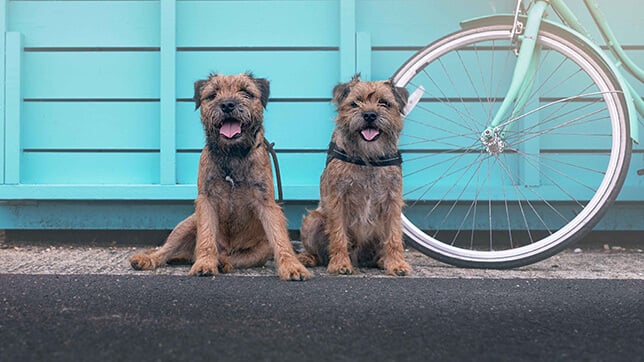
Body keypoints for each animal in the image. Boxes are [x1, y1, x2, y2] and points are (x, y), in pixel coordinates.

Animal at [128, 71, 310, 280]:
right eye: (213, 94)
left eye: (245, 92)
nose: (228, 104)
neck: (233, 153)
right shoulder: (206, 201)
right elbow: (206, 237)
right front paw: (205, 263)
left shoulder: (267, 203)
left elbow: (280, 238)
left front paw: (292, 267)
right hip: (188, 224)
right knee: (167, 250)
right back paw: (149, 259)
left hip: (260, 250)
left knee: (235, 258)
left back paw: (222, 262)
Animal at [298, 74, 412, 278]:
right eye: (355, 103)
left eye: (384, 103)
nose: (370, 115)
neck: (368, 158)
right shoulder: (337, 200)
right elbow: (338, 234)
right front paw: (340, 264)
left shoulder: (392, 201)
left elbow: (394, 235)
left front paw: (397, 264)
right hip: (313, 220)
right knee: (318, 251)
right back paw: (308, 258)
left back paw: (383, 260)